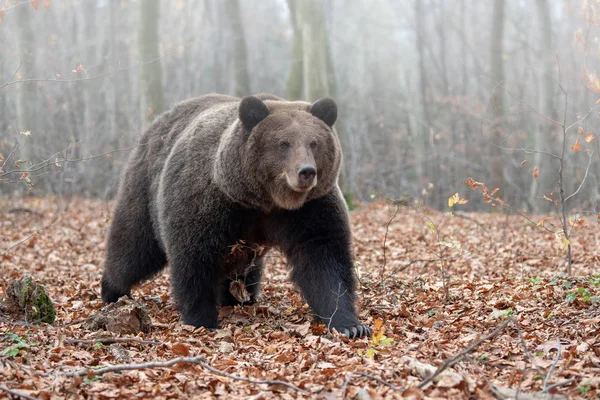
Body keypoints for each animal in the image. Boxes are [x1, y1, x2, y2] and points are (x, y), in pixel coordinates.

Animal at [99, 93, 370, 338]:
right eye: (283, 143)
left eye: (314, 142)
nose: (306, 172)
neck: (264, 200)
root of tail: (155, 125)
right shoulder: (208, 203)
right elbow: (194, 259)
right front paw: (202, 320)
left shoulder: (309, 209)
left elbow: (324, 257)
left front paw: (351, 325)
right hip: (144, 188)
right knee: (134, 246)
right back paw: (112, 291)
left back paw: (239, 298)